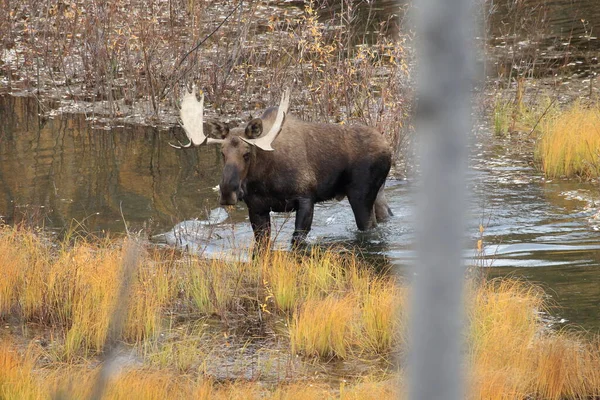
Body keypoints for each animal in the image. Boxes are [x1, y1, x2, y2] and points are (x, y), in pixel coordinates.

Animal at [171, 87, 392, 247]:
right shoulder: (257, 207)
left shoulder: (305, 198)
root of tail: (388, 147)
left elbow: (296, 241)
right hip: (378, 194)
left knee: (369, 227)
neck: (265, 178)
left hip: (360, 194)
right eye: (222, 153)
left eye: (246, 153)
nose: (227, 193)